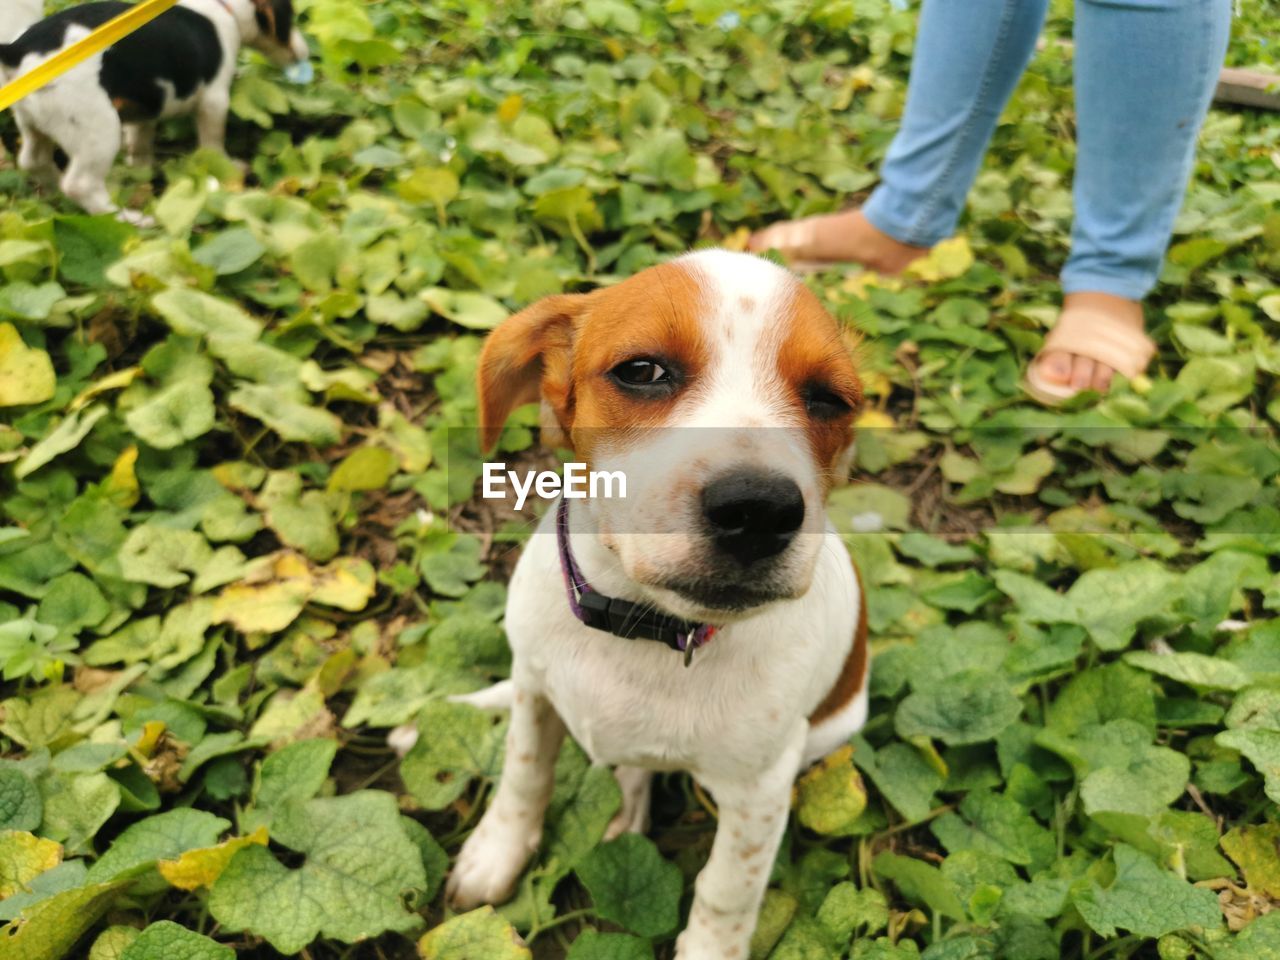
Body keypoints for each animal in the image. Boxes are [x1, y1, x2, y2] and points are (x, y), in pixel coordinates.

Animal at [0, 0, 307, 221]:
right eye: (290, 15)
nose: (306, 53)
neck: (224, 8)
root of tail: (18, 50)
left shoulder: (142, 112)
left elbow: (140, 146)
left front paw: (142, 177)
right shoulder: (215, 100)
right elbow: (212, 144)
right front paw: (227, 169)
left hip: (35, 122)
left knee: (33, 161)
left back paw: (56, 191)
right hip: (97, 128)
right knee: (80, 184)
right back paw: (128, 218)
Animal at [450, 252, 870, 957]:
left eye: (828, 399)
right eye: (642, 371)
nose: (759, 510)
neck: (639, 626)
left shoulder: (760, 791)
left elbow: (726, 890)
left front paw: (709, 947)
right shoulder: (534, 691)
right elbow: (523, 775)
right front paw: (497, 851)